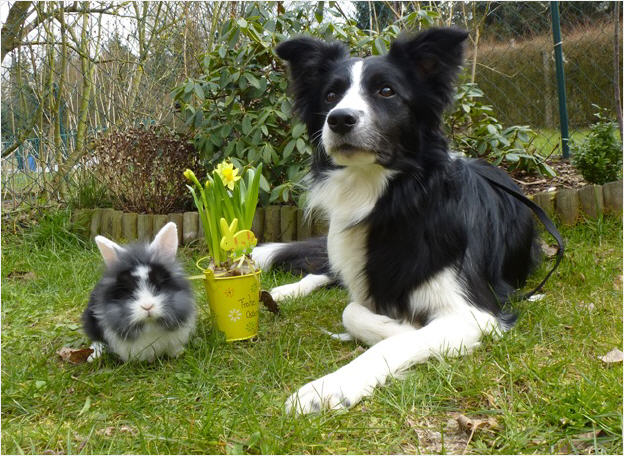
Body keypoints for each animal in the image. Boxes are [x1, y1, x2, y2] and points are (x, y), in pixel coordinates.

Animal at [82, 222, 196, 362]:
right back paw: (93, 357)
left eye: (158, 286)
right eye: (129, 291)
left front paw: (178, 353)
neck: (150, 326)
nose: (147, 306)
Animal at [252, 28, 540, 415]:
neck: (389, 201)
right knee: (325, 272)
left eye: (386, 91)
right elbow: (352, 310)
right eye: (331, 95)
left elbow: (391, 336)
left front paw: (328, 387)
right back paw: (282, 292)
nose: (339, 118)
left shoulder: (471, 310)